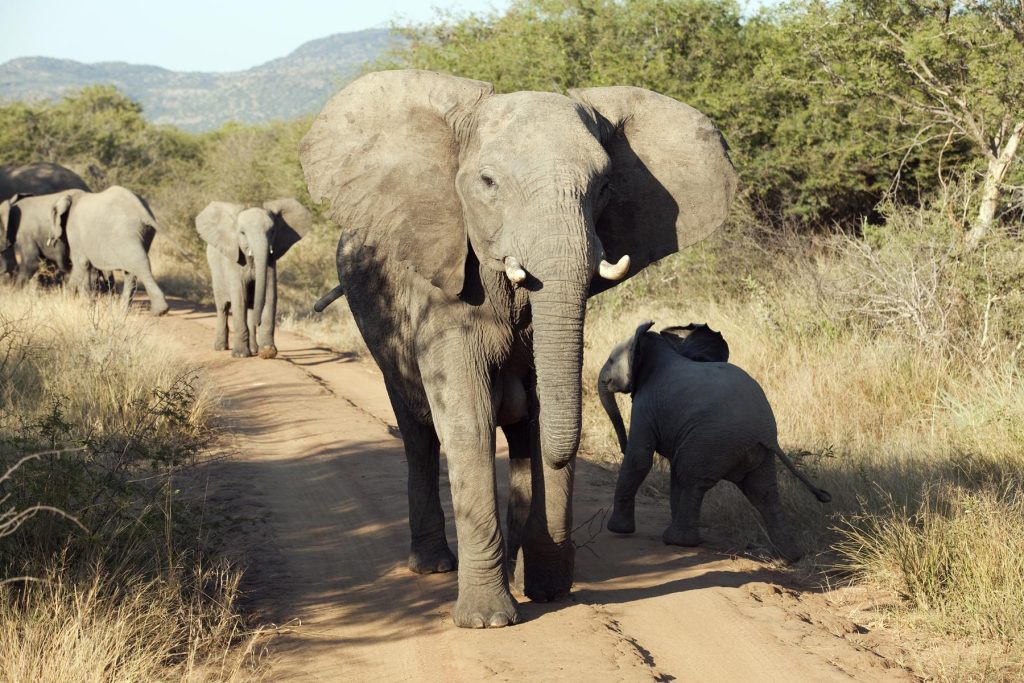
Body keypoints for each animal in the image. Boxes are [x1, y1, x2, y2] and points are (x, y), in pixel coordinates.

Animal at [51, 186, 169, 315]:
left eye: (54, 212)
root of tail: (141, 209)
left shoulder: (74, 229)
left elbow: (82, 264)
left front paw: (67, 303)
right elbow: (88, 267)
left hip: (124, 232)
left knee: (139, 264)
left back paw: (159, 311)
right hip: (144, 231)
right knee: (132, 270)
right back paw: (124, 312)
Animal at [195, 199, 311, 358]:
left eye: (272, 231)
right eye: (242, 233)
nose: (259, 322)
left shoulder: (270, 261)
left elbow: (270, 296)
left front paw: (268, 352)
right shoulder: (234, 262)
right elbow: (239, 299)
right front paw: (240, 355)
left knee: (250, 307)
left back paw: (254, 349)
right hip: (215, 273)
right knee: (223, 307)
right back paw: (221, 348)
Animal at [300, 69, 737, 628]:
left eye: (604, 186)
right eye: (488, 183)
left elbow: (541, 416)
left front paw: (549, 593)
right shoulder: (441, 289)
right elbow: (470, 419)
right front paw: (488, 621)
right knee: (418, 430)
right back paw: (435, 566)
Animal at [598, 321, 831, 562]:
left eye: (611, 360)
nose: (621, 446)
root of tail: (764, 433)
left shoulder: (646, 406)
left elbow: (639, 459)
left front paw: (617, 530)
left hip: (711, 443)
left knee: (692, 480)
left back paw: (677, 541)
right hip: (751, 453)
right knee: (764, 492)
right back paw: (791, 556)